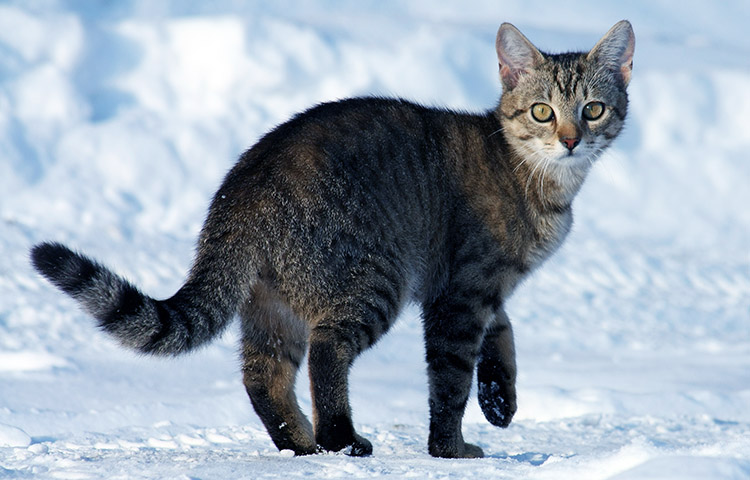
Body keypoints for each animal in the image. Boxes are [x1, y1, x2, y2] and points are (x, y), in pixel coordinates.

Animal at [32, 21, 636, 458]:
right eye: (542, 111)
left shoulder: (480, 289)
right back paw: (340, 439)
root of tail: (243, 191)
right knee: (327, 353)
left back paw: (300, 444)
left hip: (271, 305)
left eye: (593, 109)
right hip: (372, 280)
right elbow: (449, 379)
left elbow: (502, 334)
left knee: (263, 376)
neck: (535, 177)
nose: (571, 139)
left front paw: (500, 397)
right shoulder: (460, 292)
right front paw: (450, 449)